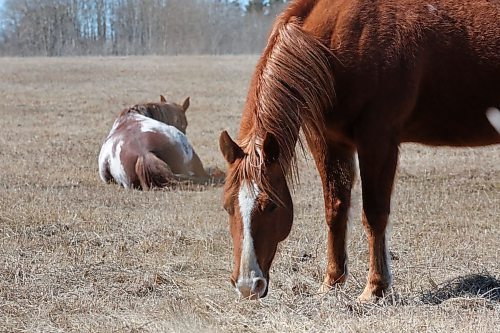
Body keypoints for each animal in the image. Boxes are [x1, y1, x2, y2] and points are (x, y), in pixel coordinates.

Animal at [219, 0, 500, 300]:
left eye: (271, 205)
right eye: (227, 207)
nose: (248, 285)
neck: (333, 43)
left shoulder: (377, 140)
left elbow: (374, 213)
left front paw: (375, 288)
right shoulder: (327, 140)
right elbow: (335, 208)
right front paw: (331, 283)